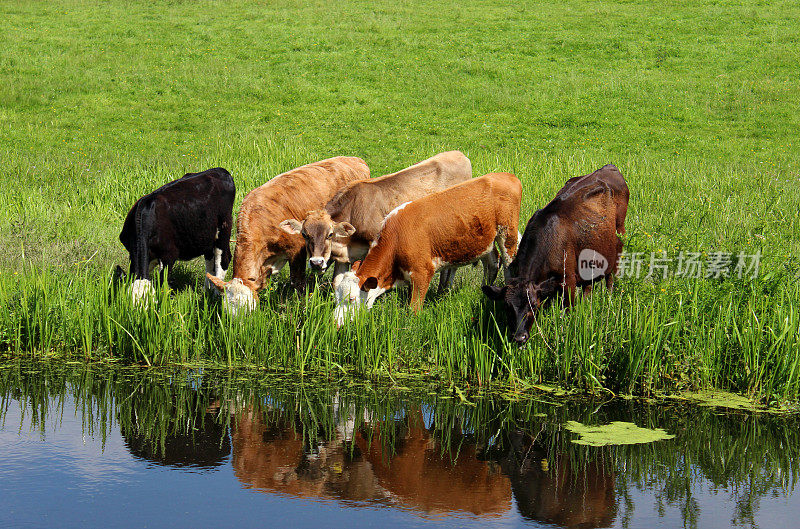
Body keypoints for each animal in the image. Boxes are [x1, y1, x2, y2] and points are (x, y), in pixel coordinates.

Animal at [117, 167, 234, 304]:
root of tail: (220, 170)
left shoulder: (169, 255)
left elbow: (163, 284)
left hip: (224, 228)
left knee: (223, 260)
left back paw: (215, 294)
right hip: (206, 236)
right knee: (210, 261)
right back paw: (207, 291)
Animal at [278, 151, 472, 286]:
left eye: (330, 234)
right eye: (304, 235)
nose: (316, 263)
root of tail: (459, 154)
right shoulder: (343, 257)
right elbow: (337, 282)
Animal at [334, 173, 520, 324]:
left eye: (352, 299)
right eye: (335, 297)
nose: (336, 324)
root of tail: (506, 175)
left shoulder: (422, 272)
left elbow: (413, 310)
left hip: (507, 234)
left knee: (508, 263)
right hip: (486, 241)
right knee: (492, 263)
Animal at [482, 164, 632, 342]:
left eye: (533, 305)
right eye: (507, 307)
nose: (519, 337)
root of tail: (609, 166)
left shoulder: (568, 281)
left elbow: (567, 310)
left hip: (619, 235)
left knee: (611, 275)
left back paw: (609, 297)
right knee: (589, 284)